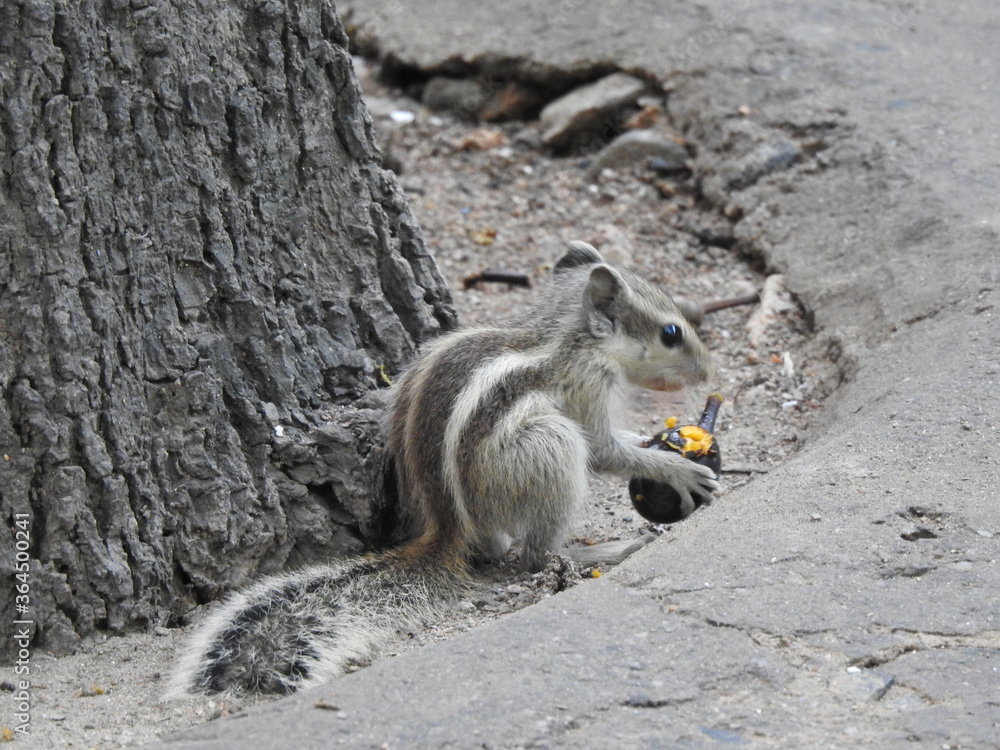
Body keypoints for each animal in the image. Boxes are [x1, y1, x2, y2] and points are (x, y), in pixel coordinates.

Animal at [169, 242, 719, 697]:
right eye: (671, 333)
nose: (710, 371)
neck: (564, 333)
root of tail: (447, 528)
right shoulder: (585, 388)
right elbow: (604, 450)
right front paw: (675, 466)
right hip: (548, 447)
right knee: (535, 554)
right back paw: (600, 550)